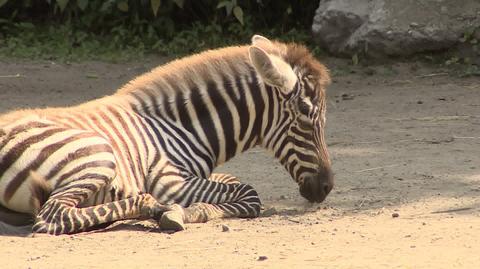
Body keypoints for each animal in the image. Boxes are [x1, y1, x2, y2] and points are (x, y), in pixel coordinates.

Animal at [0, 34, 332, 233]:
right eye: (306, 118)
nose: (327, 187)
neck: (182, 127)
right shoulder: (171, 182)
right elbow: (250, 193)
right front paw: (187, 212)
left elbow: (237, 184)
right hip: (98, 154)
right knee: (53, 216)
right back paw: (153, 207)